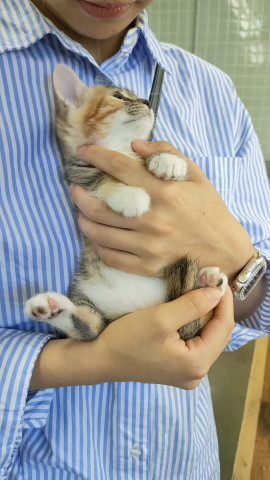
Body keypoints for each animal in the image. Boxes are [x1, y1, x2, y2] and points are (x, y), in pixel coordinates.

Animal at [24, 64, 228, 342]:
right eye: (118, 97)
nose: (146, 102)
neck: (118, 149)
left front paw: (167, 161)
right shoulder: (79, 173)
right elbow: (101, 179)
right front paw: (129, 195)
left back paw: (207, 281)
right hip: (91, 303)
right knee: (90, 328)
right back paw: (49, 307)